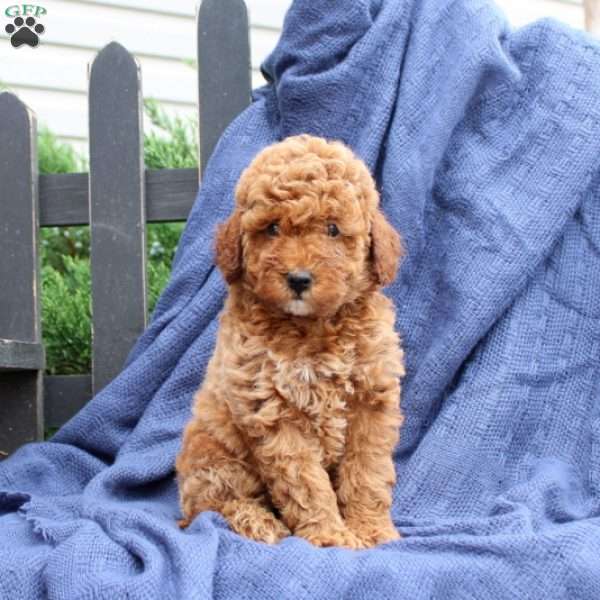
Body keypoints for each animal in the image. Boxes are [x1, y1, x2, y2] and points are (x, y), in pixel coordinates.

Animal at [176, 135, 406, 548]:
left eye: (332, 229)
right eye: (271, 229)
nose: (299, 279)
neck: (313, 329)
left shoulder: (371, 403)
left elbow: (367, 471)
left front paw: (370, 528)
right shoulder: (272, 412)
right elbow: (306, 483)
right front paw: (332, 536)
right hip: (217, 459)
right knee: (215, 505)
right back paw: (260, 523)